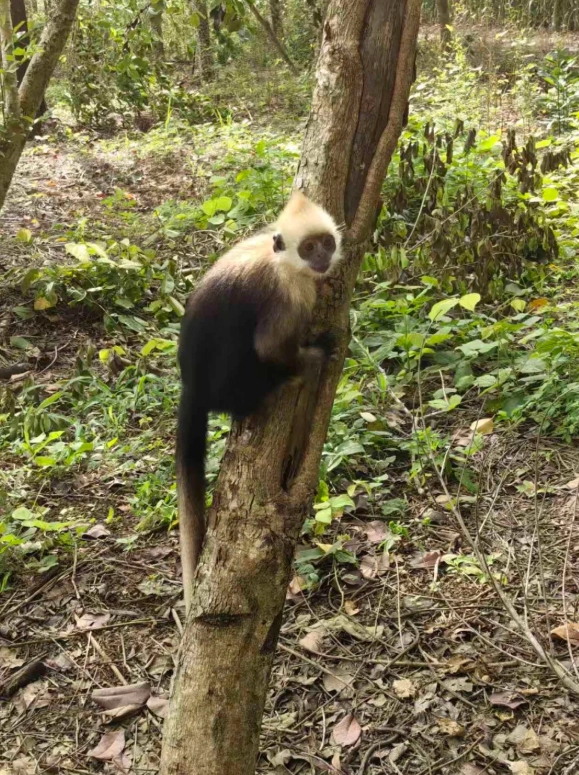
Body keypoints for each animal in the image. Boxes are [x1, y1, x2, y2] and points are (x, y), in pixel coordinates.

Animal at [176, 191, 342, 610]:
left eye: (326, 243)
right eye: (309, 248)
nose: (322, 257)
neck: (279, 260)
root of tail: (192, 386)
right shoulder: (290, 296)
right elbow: (270, 347)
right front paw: (315, 355)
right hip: (238, 384)